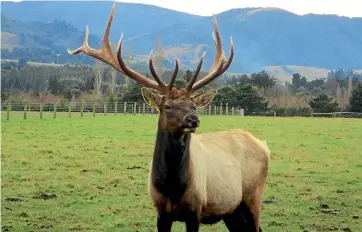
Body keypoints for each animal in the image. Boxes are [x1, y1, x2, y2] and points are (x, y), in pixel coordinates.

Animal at [69, 1, 270, 230]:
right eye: (167, 106)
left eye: (193, 106)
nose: (193, 120)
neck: (171, 188)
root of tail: (264, 145)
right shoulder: (160, 212)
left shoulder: (196, 210)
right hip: (232, 210)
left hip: (253, 195)